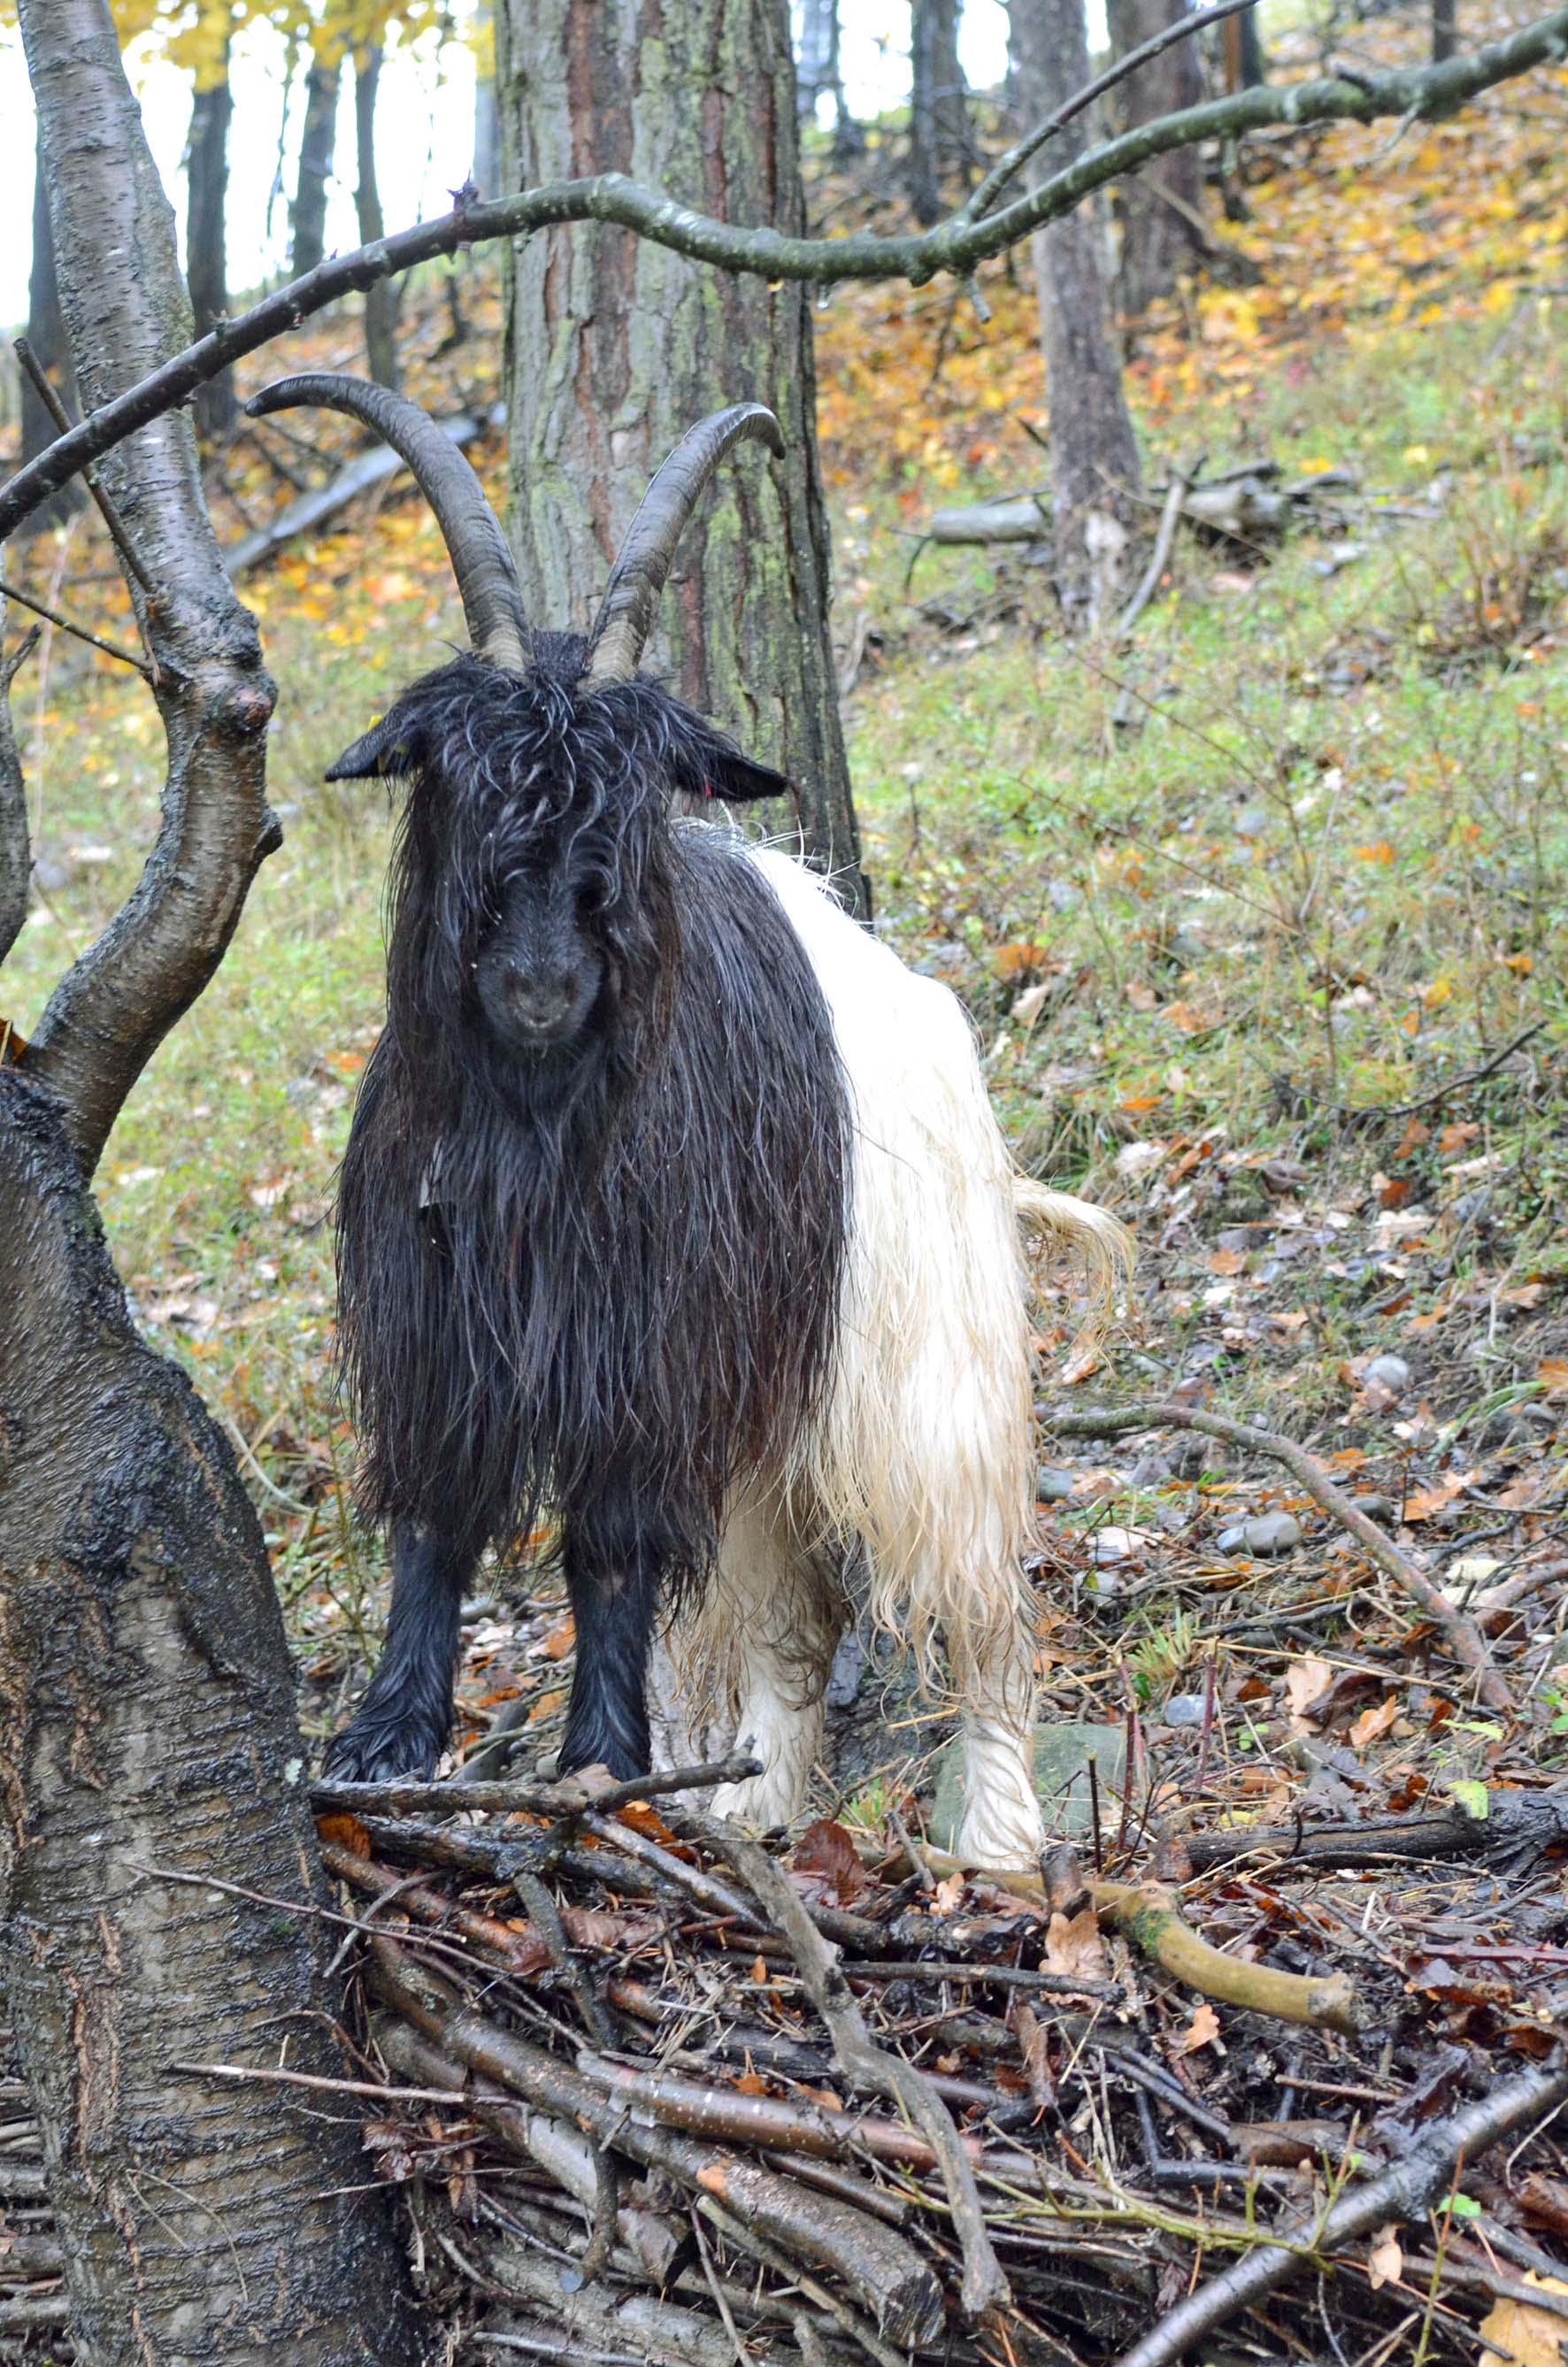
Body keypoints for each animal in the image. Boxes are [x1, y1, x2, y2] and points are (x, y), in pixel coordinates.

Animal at [250, 373, 1132, 1869]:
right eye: (461, 781)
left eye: (635, 795)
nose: (542, 985)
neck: (537, 1119)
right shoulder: (445, 1321)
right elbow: (436, 1518)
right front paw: (384, 1741)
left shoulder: (641, 1340)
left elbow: (607, 1540)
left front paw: (600, 1760)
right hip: (773, 1391)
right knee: (791, 1613)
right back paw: (758, 1807)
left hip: (920, 1361)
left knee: (978, 1596)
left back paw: (1000, 1836)